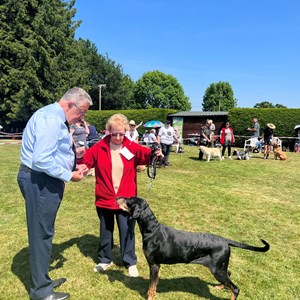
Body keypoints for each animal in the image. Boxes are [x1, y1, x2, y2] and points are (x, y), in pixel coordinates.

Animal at [116, 197, 270, 300]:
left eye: (129, 200)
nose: (117, 197)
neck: (152, 229)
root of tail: (225, 240)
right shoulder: (157, 266)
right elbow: (155, 283)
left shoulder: (154, 264)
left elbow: (151, 286)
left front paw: (150, 296)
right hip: (220, 267)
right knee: (229, 275)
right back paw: (220, 287)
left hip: (217, 269)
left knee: (236, 288)